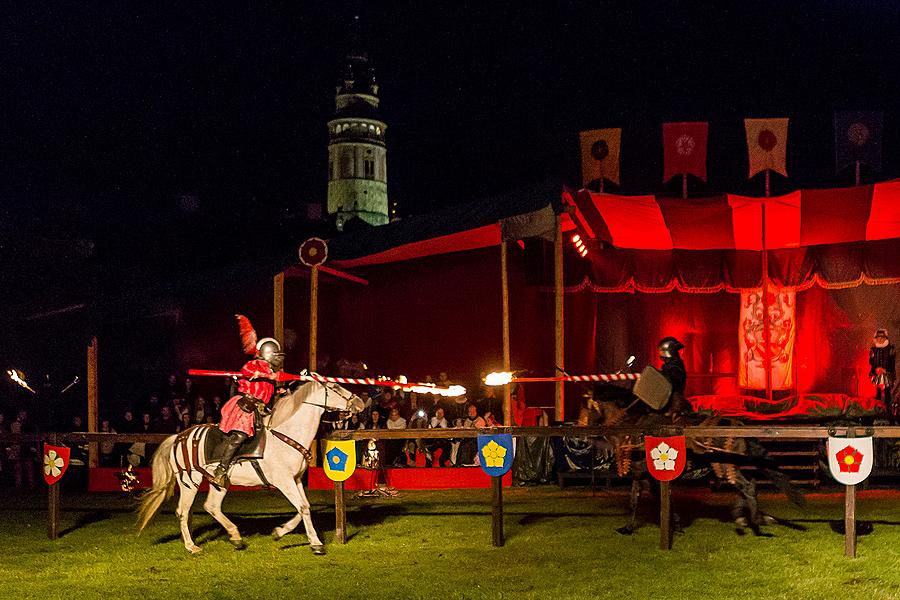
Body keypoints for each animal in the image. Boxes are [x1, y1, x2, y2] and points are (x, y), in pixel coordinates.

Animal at [136, 382, 358, 556]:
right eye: (336, 387)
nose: (359, 402)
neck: (286, 434)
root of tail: (178, 437)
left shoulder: (295, 480)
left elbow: (304, 507)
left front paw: (294, 536)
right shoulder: (284, 481)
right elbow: (302, 507)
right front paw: (311, 542)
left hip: (220, 483)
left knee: (211, 506)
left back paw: (235, 536)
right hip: (190, 481)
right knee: (183, 511)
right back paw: (192, 547)